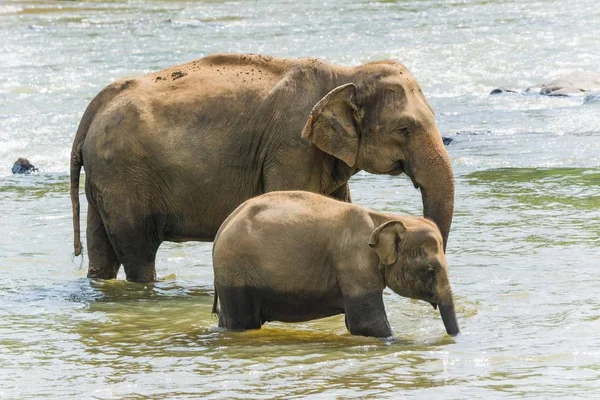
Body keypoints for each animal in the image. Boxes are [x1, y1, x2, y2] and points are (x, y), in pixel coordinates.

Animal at [70, 53, 454, 282]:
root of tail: (94, 106)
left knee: (102, 249)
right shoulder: (292, 147)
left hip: (105, 180)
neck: (344, 73)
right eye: (404, 129)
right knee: (137, 251)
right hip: (124, 177)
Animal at [211, 191, 460, 338]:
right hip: (235, 270)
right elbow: (367, 324)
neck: (382, 219)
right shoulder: (353, 262)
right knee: (244, 322)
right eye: (430, 271)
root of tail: (223, 226)